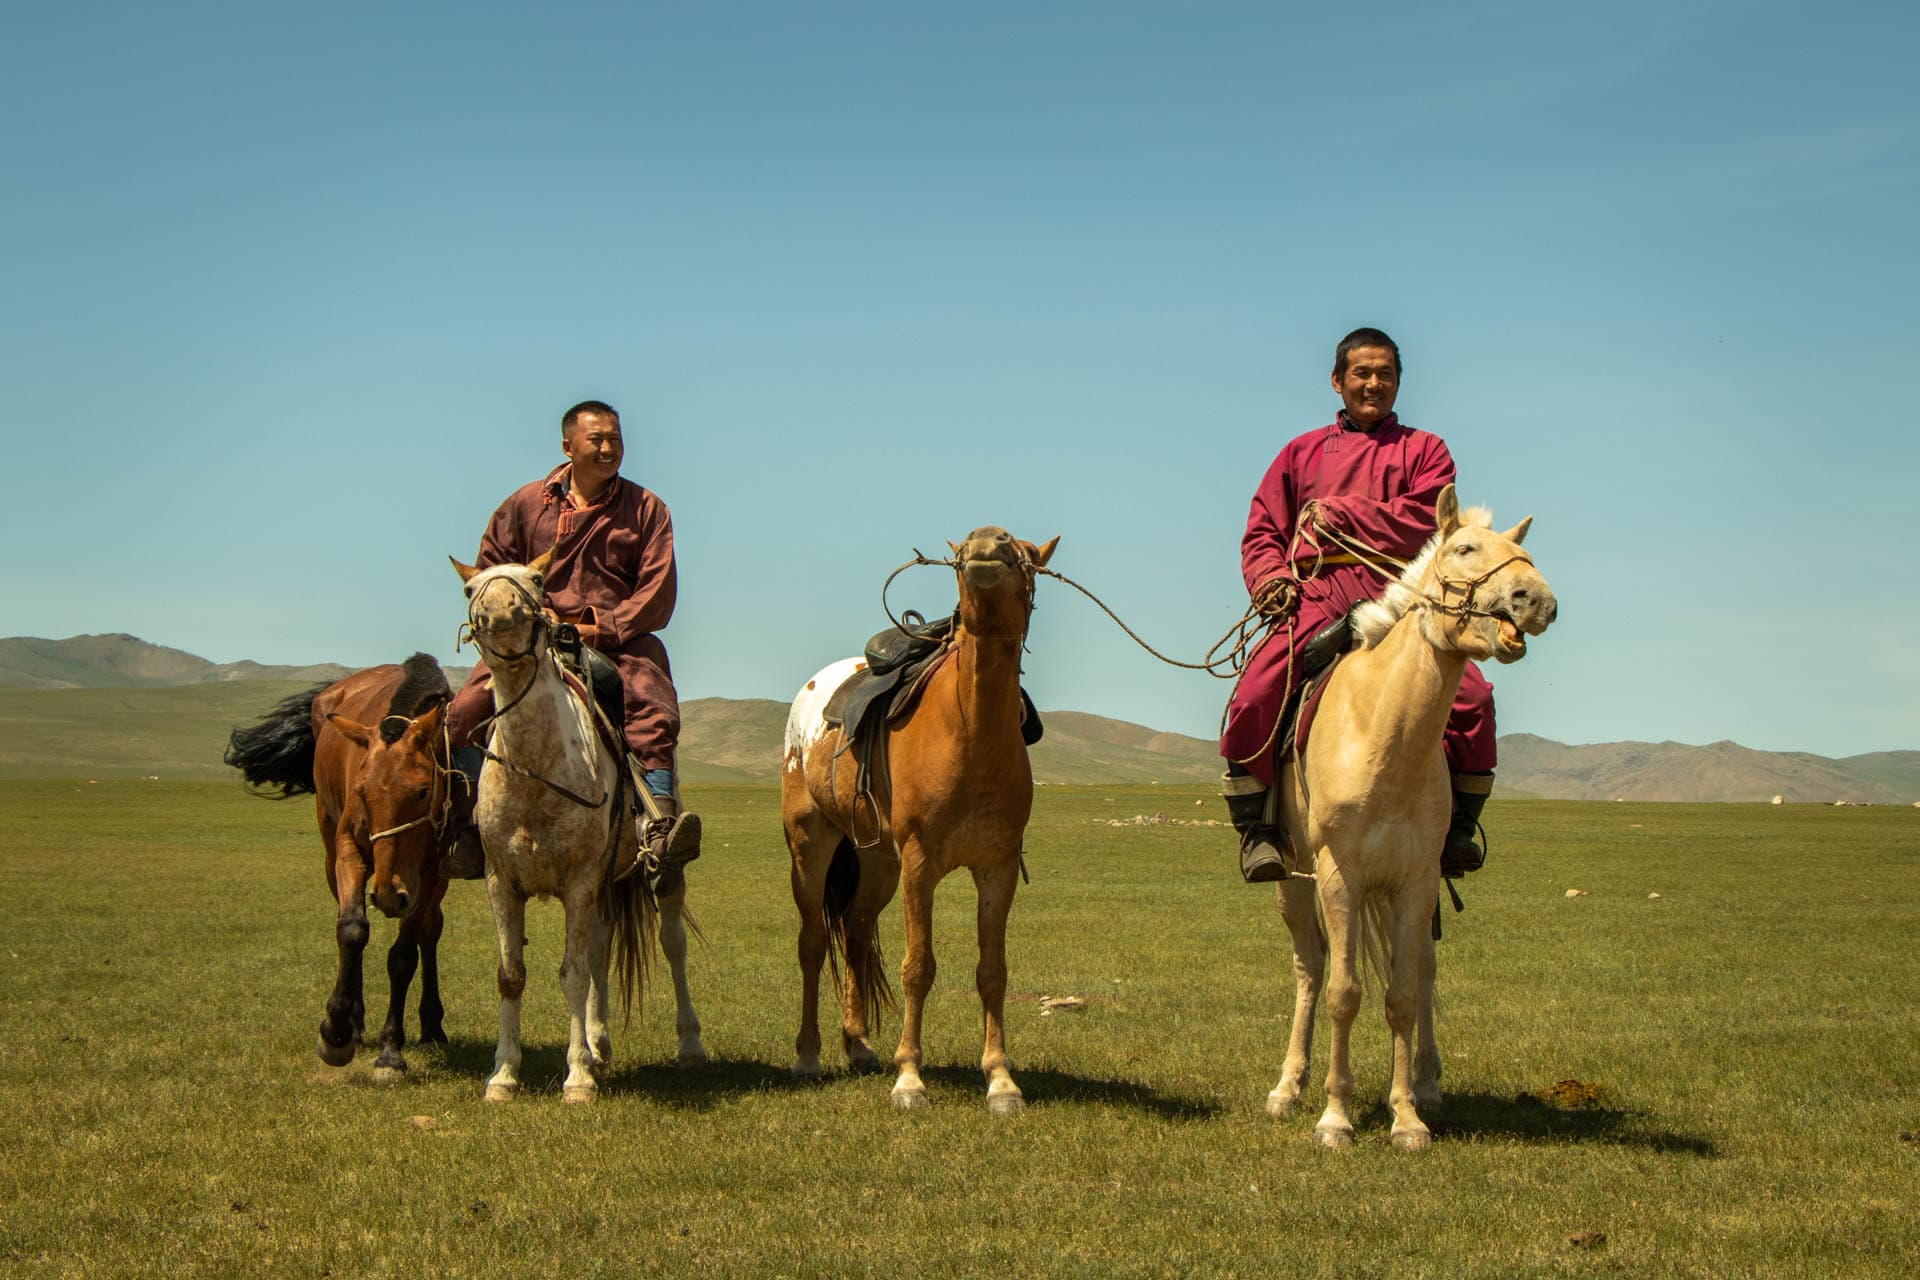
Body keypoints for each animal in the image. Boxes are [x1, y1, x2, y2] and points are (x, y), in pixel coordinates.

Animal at [224, 654, 456, 1080]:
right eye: (362, 790)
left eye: (422, 791)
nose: (388, 893)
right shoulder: (348, 848)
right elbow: (351, 930)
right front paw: (336, 1030)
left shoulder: (430, 871)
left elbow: (404, 954)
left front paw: (390, 1050)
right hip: (329, 846)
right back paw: (356, 1021)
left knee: (430, 931)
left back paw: (432, 1025)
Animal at [452, 549, 706, 1103]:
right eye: (471, 589)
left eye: (537, 579)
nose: (502, 614)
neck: (534, 770)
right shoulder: (502, 882)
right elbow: (512, 974)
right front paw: (504, 1075)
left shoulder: (578, 879)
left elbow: (572, 976)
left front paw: (578, 1080)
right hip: (602, 885)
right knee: (599, 948)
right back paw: (597, 1042)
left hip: (657, 875)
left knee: (672, 944)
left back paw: (689, 1045)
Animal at [783, 526, 1058, 1114]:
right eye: (968, 549)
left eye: (1026, 553)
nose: (986, 541)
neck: (972, 732)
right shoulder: (920, 865)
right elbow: (918, 968)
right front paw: (909, 1078)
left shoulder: (997, 867)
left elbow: (992, 971)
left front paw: (1001, 1080)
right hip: (811, 843)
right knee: (813, 942)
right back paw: (809, 1056)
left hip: (877, 861)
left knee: (856, 930)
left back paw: (858, 1045)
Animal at [1266, 484, 1557, 1149]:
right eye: (1465, 548)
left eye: (1524, 553)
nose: (1537, 601)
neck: (1385, 738)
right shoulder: (1339, 874)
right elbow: (1345, 991)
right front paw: (1335, 1116)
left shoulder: (1417, 879)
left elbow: (1401, 992)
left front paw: (1406, 1116)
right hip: (1295, 879)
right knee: (1310, 968)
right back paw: (1288, 1086)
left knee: (1422, 970)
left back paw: (1425, 1084)